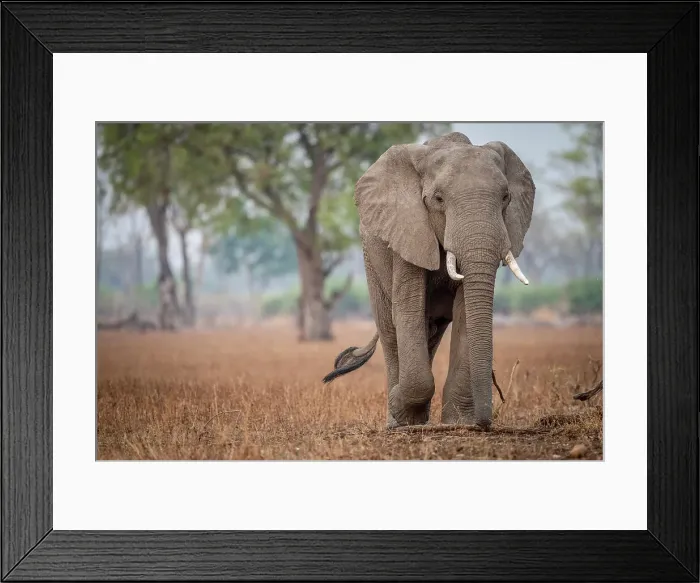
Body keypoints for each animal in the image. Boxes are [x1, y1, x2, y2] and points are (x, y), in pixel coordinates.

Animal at [322, 131, 535, 430]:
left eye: (506, 198)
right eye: (438, 199)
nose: (485, 422)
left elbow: (465, 312)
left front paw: (458, 423)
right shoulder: (407, 229)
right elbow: (408, 311)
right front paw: (401, 409)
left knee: (431, 332)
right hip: (371, 261)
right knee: (391, 330)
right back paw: (398, 422)